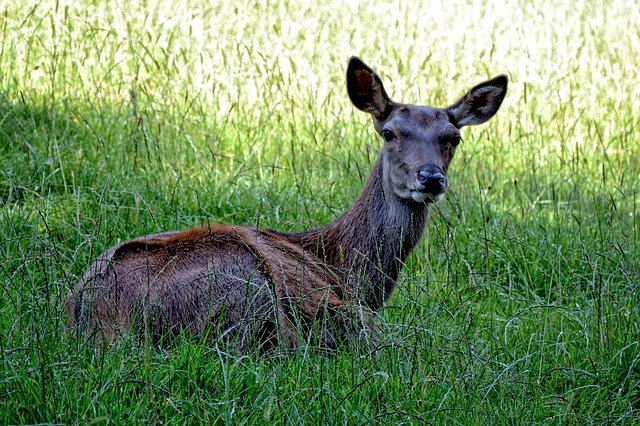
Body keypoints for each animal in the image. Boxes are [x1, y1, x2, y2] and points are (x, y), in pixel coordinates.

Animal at [65, 57, 508, 352]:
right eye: (389, 133)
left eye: (453, 138)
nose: (430, 178)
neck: (343, 266)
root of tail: (96, 319)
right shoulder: (342, 307)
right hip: (244, 284)